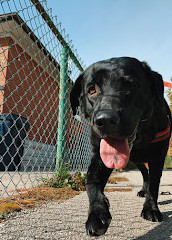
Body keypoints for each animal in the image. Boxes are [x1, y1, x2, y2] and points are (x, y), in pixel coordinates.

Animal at [69, 57, 171, 236]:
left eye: (130, 85)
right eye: (92, 90)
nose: (105, 120)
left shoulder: (158, 156)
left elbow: (154, 184)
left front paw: (151, 209)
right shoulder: (99, 156)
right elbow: (91, 181)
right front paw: (97, 214)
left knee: (148, 176)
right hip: (137, 161)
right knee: (144, 173)